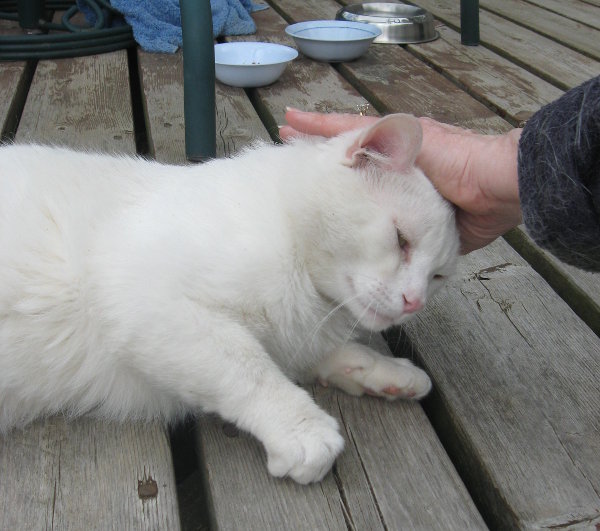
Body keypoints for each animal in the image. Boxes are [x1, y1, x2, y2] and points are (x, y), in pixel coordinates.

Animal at [0, 114, 458, 484]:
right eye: (401, 240)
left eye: (438, 276)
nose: (415, 301)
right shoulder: (146, 300)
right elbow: (250, 370)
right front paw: (303, 431)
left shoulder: (293, 335)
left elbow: (316, 355)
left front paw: (389, 374)